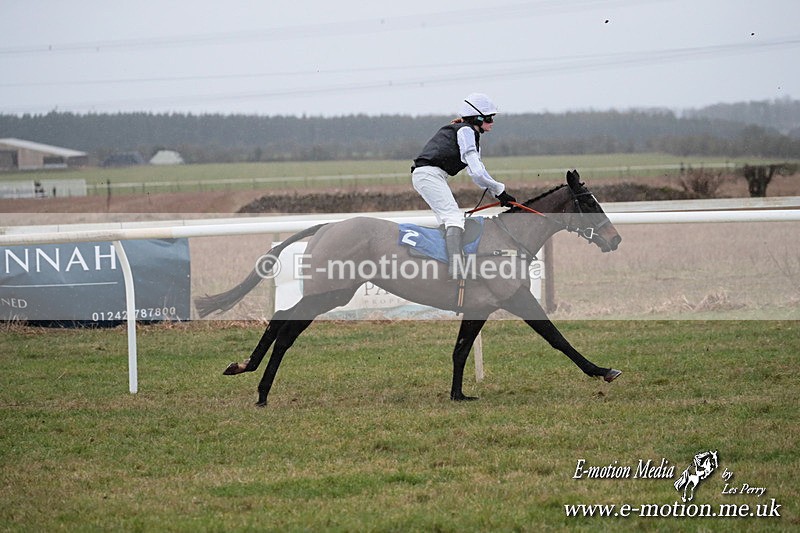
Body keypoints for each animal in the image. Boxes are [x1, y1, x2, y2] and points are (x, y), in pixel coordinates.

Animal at [195, 170, 623, 406]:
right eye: (589, 202)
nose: (615, 239)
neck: (508, 239)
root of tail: (327, 225)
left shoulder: (479, 306)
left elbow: (460, 350)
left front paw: (458, 394)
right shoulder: (513, 297)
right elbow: (557, 338)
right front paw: (602, 370)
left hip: (334, 292)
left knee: (283, 322)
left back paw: (252, 377)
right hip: (330, 291)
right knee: (284, 324)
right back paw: (258, 385)